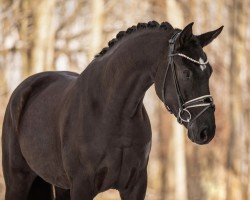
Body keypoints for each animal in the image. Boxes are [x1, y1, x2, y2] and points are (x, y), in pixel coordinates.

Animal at [1, 21, 224, 199]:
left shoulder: (135, 186)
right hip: (17, 181)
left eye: (209, 71)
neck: (112, 113)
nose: (206, 131)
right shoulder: (82, 187)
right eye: (186, 73)